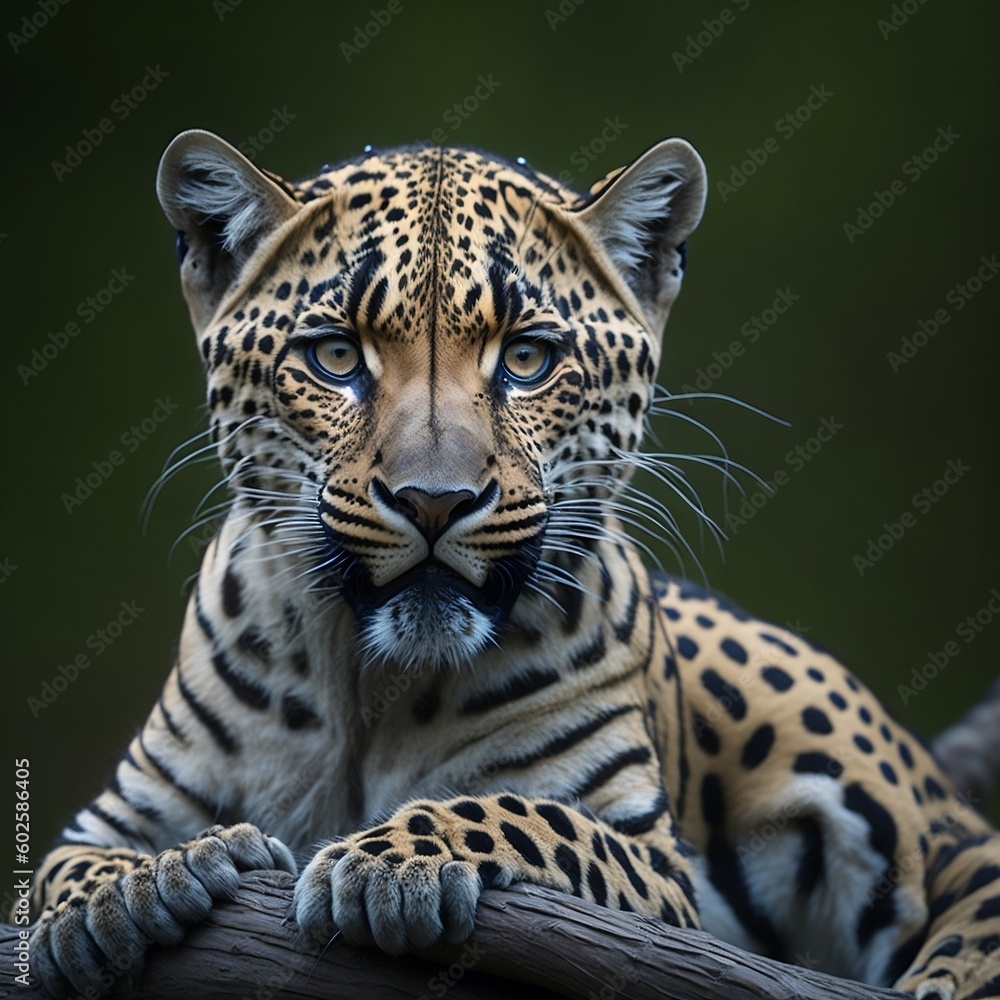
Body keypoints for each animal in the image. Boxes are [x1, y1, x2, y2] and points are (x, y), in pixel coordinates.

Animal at [28, 128, 1000, 999]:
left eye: (528, 358)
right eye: (335, 355)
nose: (433, 499)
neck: (371, 686)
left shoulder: (653, 864)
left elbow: (526, 815)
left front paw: (391, 860)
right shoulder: (113, 813)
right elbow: (57, 870)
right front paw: (132, 888)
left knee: (966, 867)